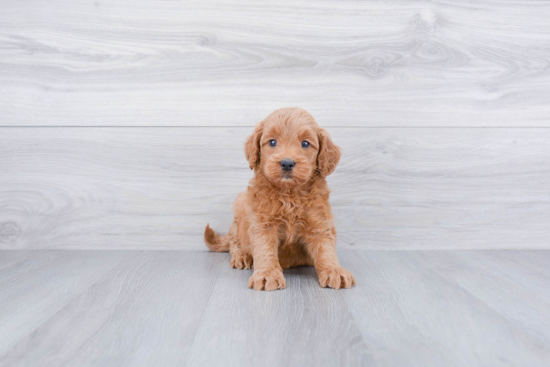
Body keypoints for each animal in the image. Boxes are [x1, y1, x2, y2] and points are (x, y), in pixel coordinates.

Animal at [205, 108, 356, 292]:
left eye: (305, 144)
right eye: (272, 142)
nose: (287, 163)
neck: (289, 194)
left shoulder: (319, 225)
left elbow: (325, 249)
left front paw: (334, 270)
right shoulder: (263, 224)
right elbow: (264, 250)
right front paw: (267, 274)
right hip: (240, 205)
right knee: (235, 241)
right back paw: (242, 255)